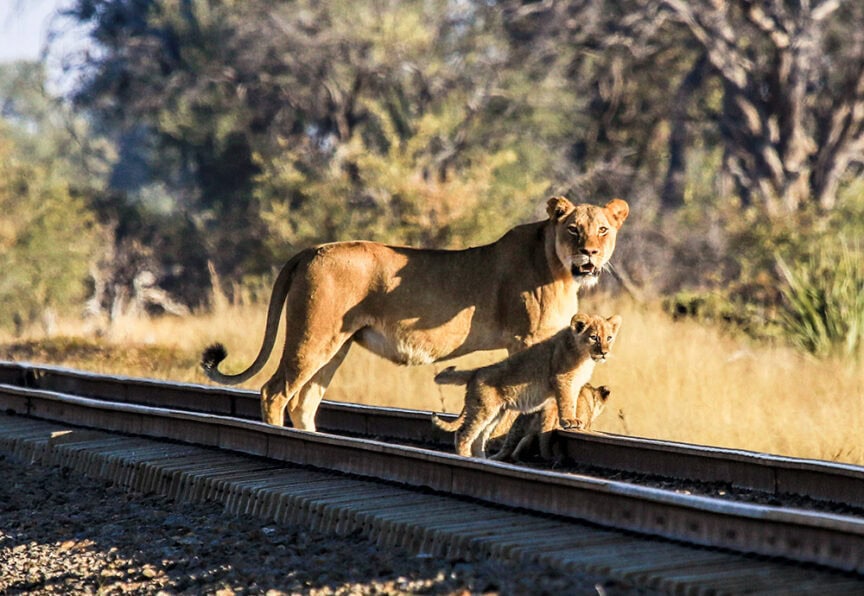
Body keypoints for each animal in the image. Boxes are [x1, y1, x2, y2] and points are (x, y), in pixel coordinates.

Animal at [201, 196, 629, 431]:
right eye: (573, 229)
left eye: (603, 230)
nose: (589, 252)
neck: (560, 268)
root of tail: (311, 250)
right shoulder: (528, 339)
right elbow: (534, 393)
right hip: (313, 337)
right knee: (275, 392)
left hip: (337, 345)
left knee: (303, 403)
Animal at [431, 313, 621, 458]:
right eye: (594, 337)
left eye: (609, 338)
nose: (604, 353)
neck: (584, 357)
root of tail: (476, 371)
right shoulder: (562, 380)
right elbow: (566, 402)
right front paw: (569, 421)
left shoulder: (574, 385)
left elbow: (573, 403)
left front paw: (575, 420)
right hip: (483, 409)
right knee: (463, 434)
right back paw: (467, 459)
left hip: (495, 413)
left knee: (479, 438)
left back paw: (482, 460)